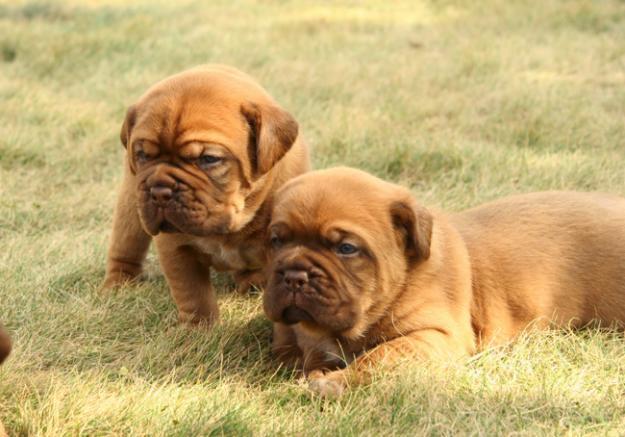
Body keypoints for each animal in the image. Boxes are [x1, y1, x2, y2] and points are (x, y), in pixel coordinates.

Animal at [101, 64, 310, 324]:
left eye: (209, 159)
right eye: (143, 155)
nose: (159, 190)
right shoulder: (175, 247)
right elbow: (191, 292)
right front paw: (199, 327)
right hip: (131, 206)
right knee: (125, 245)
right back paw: (117, 285)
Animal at [262, 166, 624, 396]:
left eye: (346, 248)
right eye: (276, 240)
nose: (294, 275)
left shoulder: (434, 336)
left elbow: (380, 356)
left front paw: (336, 381)